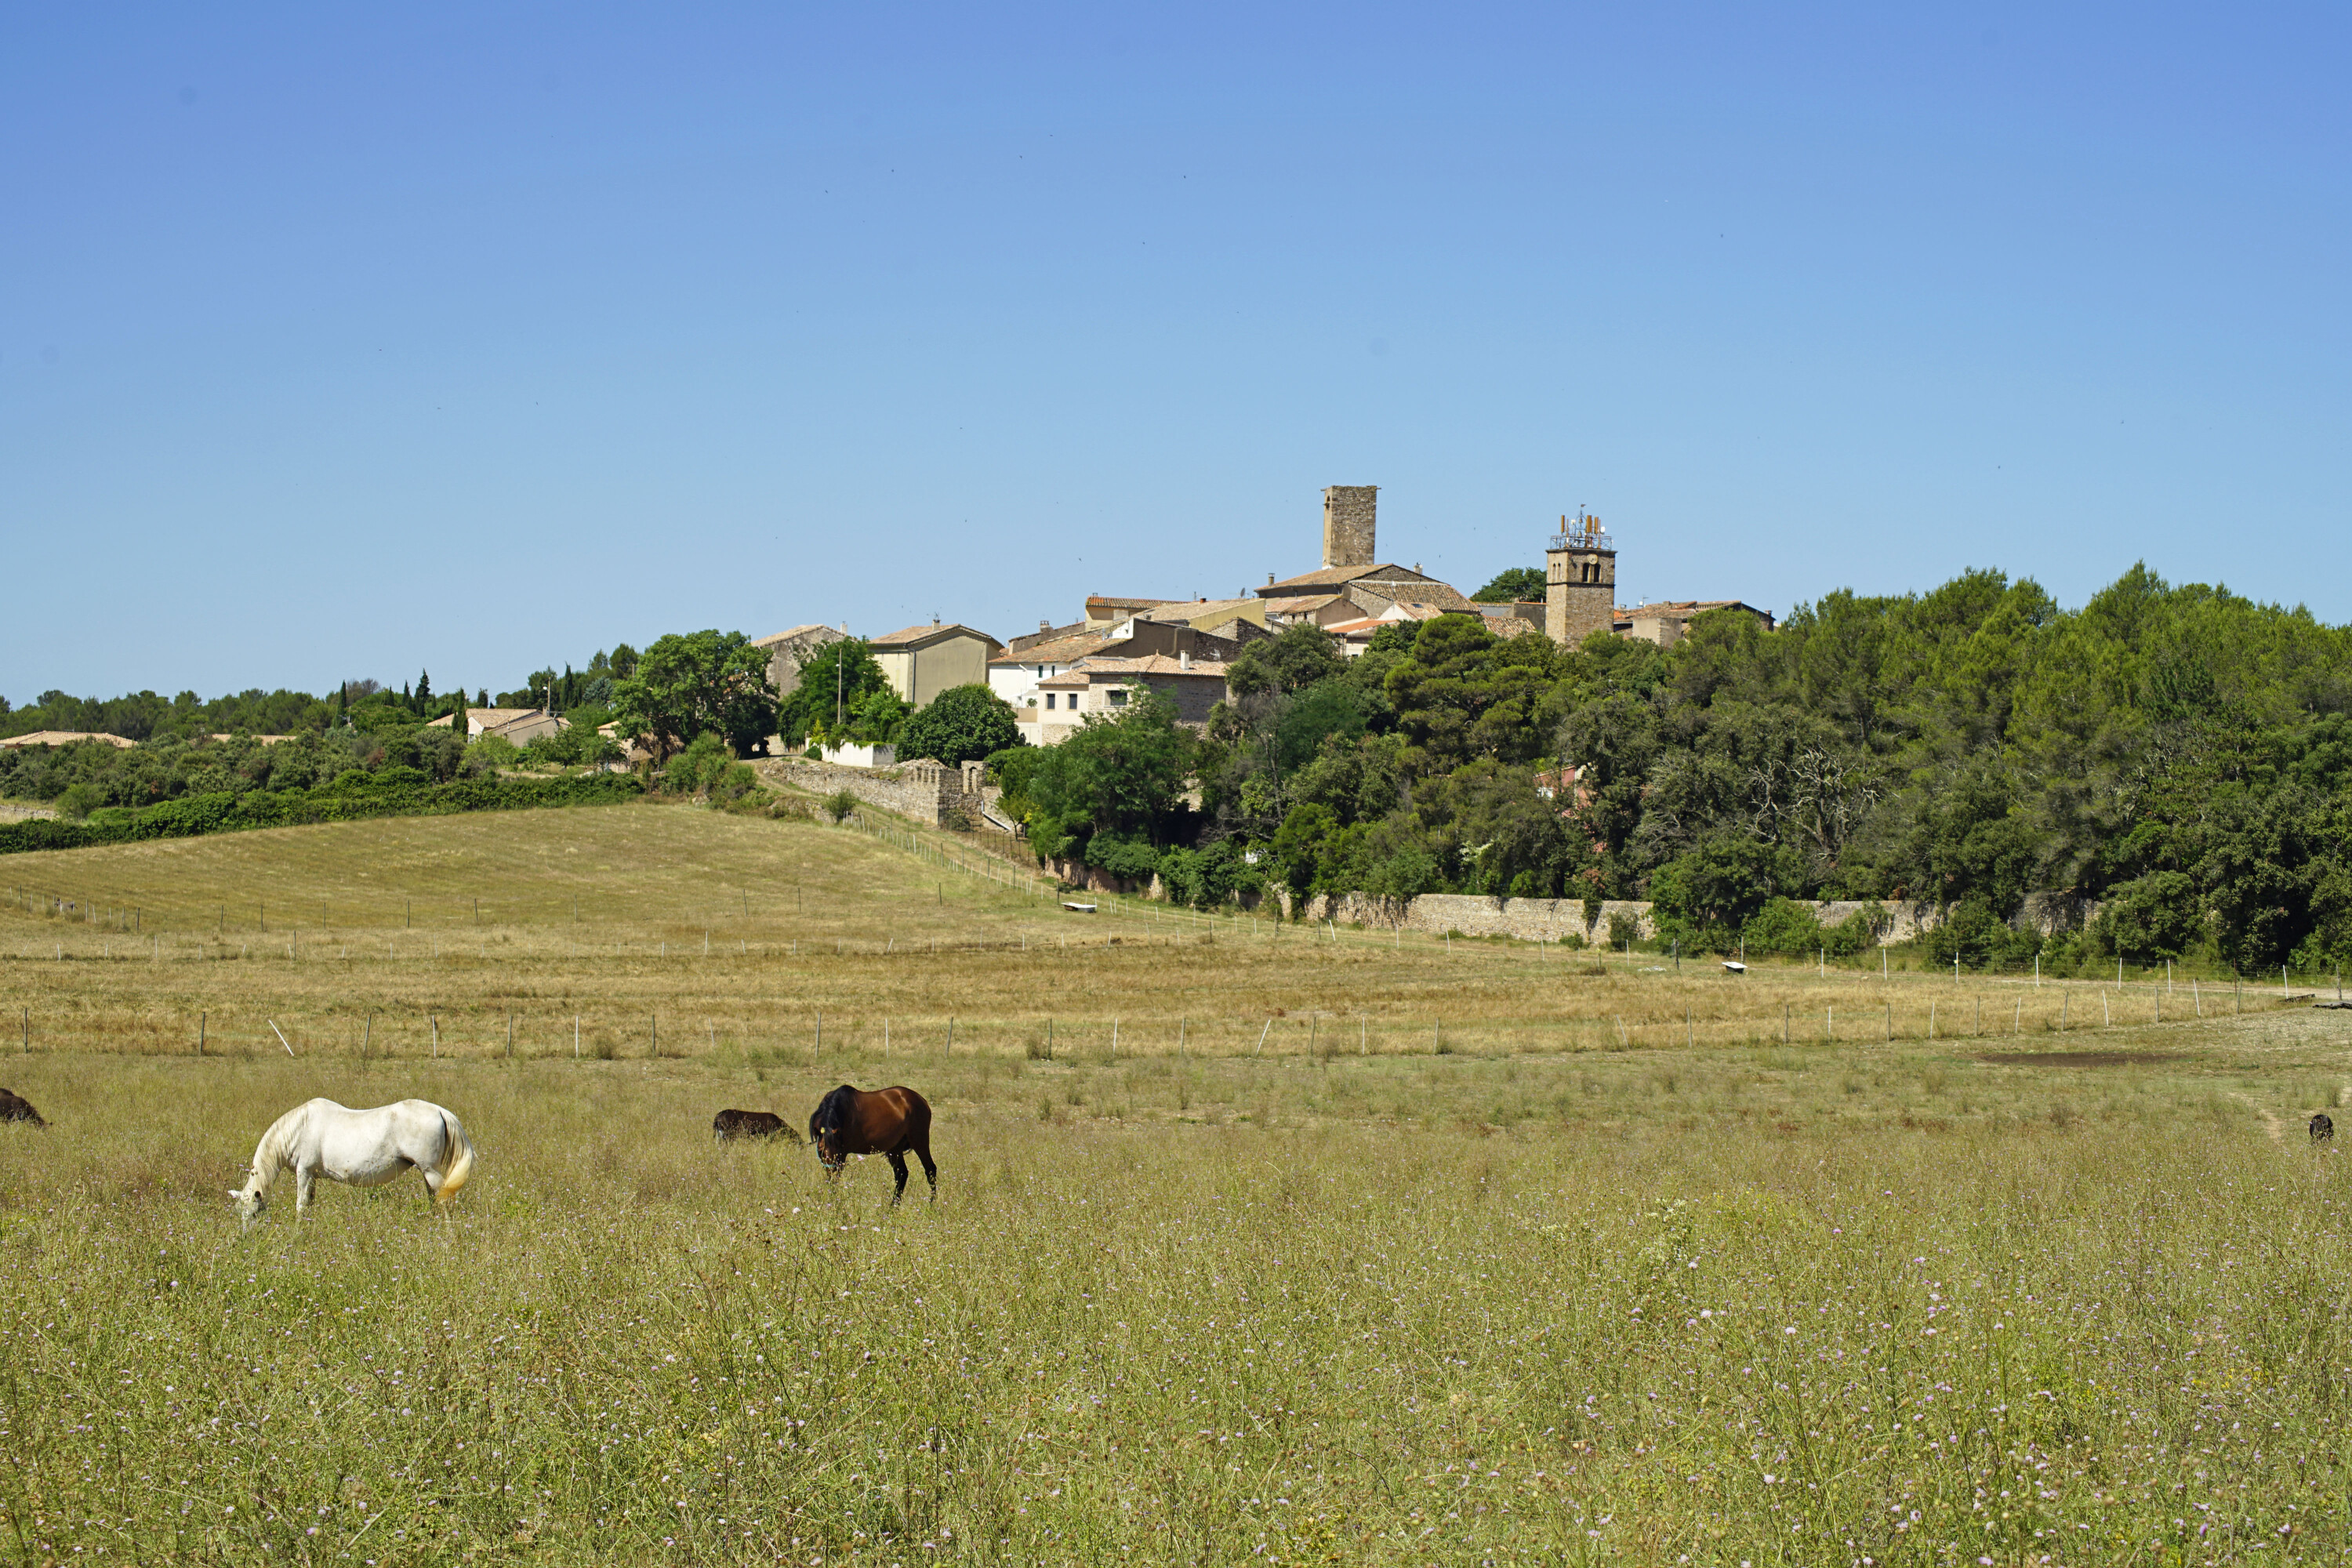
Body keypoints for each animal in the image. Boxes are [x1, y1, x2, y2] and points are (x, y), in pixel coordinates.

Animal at [228, 1098, 474, 1227]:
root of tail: (439, 1111)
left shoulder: (304, 1173)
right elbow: (310, 1205)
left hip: (431, 1171)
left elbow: (300, 1206)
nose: (246, 1237)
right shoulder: (312, 1177)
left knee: (445, 1201)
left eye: (254, 1213)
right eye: (240, 1212)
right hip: (427, 1173)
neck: (299, 1127)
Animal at [808, 1084, 936, 1204]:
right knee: (901, 1174)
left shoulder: (841, 1157)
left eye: (837, 1151)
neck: (841, 1110)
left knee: (930, 1169)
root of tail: (921, 1100)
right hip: (895, 1149)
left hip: (920, 1141)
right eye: (820, 1149)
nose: (832, 1169)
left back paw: (931, 1204)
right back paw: (893, 1207)